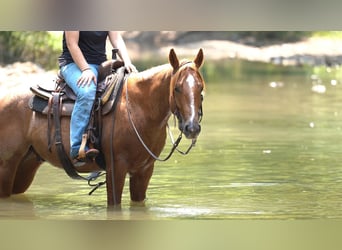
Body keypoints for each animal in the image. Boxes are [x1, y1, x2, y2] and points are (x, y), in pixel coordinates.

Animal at [0, 48, 204, 205]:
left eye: (201, 87)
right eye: (177, 88)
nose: (192, 127)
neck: (137, 107)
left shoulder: (144, 170)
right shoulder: (116, 168)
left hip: (26, 164)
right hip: (6, 166)